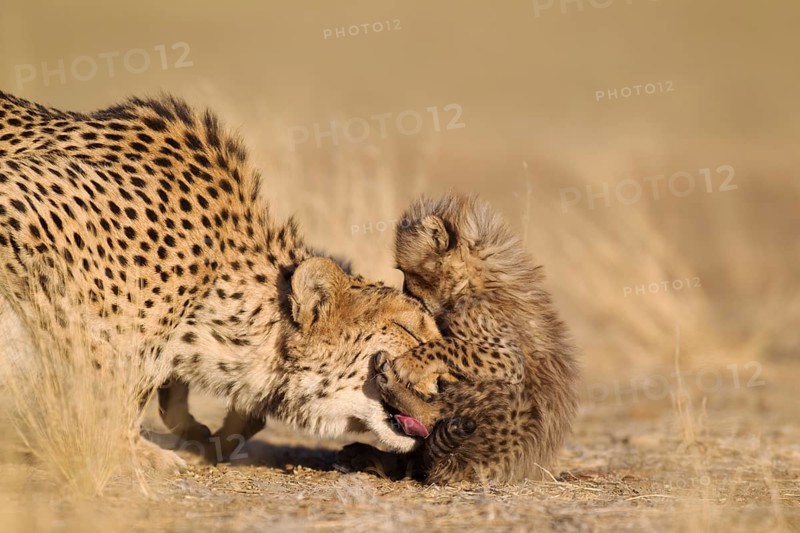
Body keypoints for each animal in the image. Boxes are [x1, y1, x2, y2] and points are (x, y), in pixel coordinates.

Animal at [0, 91, 441, 468]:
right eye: (408, 329)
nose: (447, 388)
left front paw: (199, 432)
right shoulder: (22, 204)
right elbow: (106, 370)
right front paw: (132, 450)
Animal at [338, 194, 578, 484]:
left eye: (408, 272)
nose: (406, 291)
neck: (473, 282)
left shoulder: (509, 359)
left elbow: (451, 345)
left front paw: (410, 364)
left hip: (507, 394)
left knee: (432, 416)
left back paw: (390, 380)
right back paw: (366, 453)